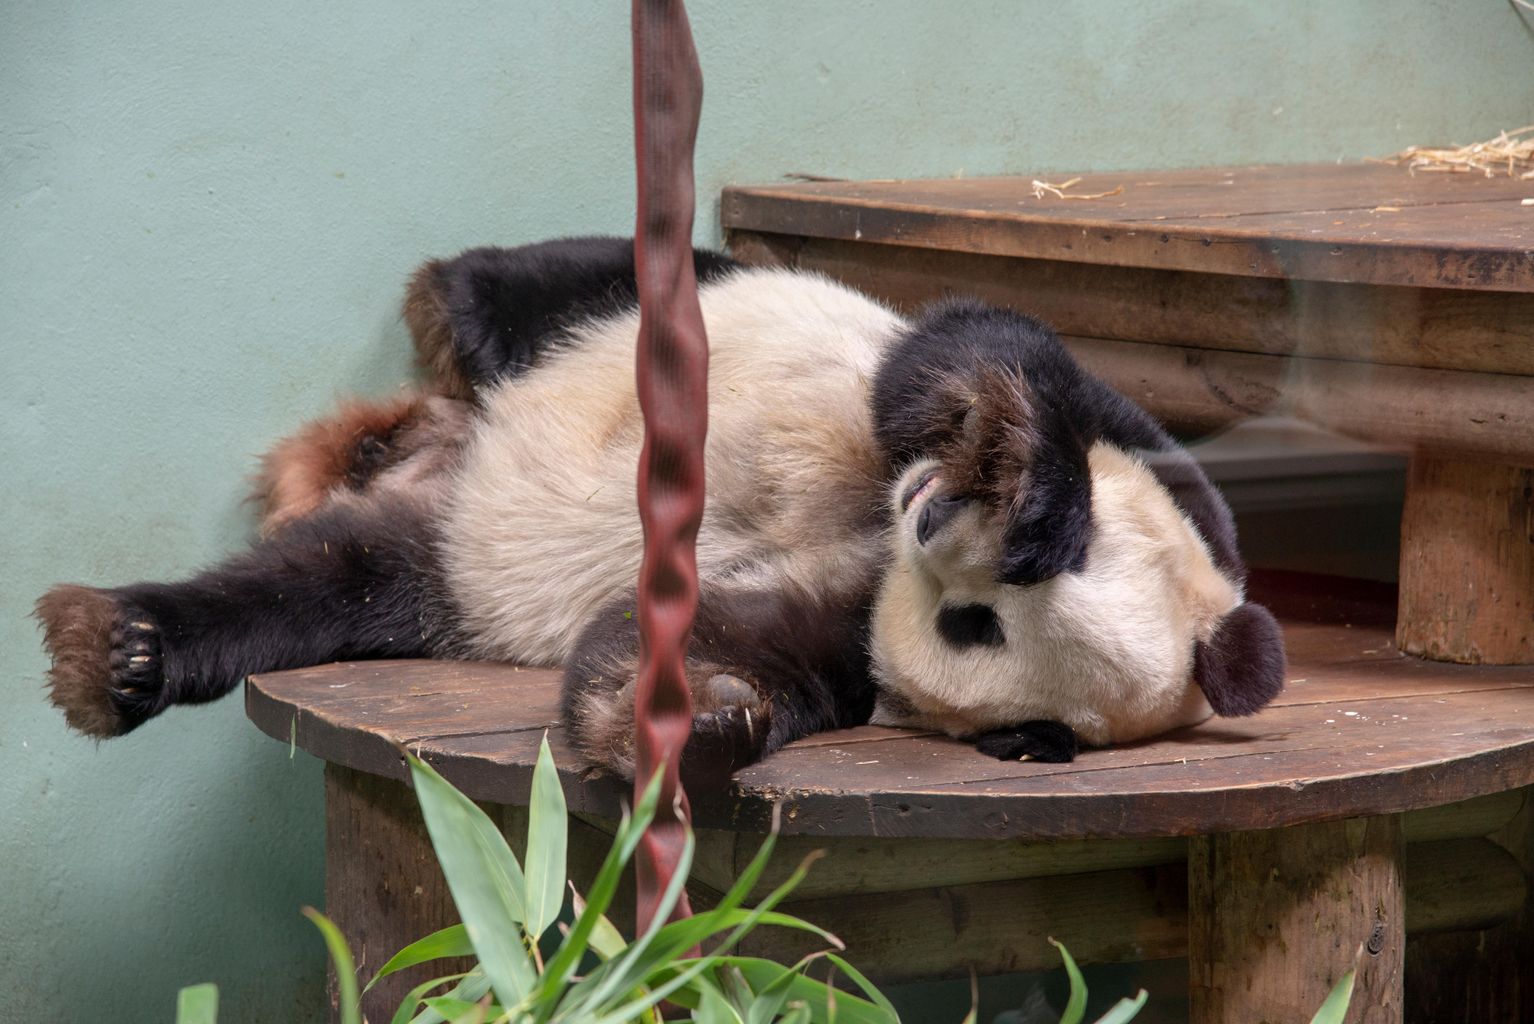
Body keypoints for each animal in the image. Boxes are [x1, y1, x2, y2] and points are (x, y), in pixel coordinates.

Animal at [32, 237, 1282, 784]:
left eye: (975, 631)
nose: (932, 528)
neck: (874, 537)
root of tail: (434, 453)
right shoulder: (1142, 453)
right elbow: (967, 352)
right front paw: (1020, 475)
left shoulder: (843, 628)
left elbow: (681, 641)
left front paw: (705, 719)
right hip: (618, 327)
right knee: (555, 284)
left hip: (441, 564)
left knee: (323, 581)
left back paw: (129, 650)